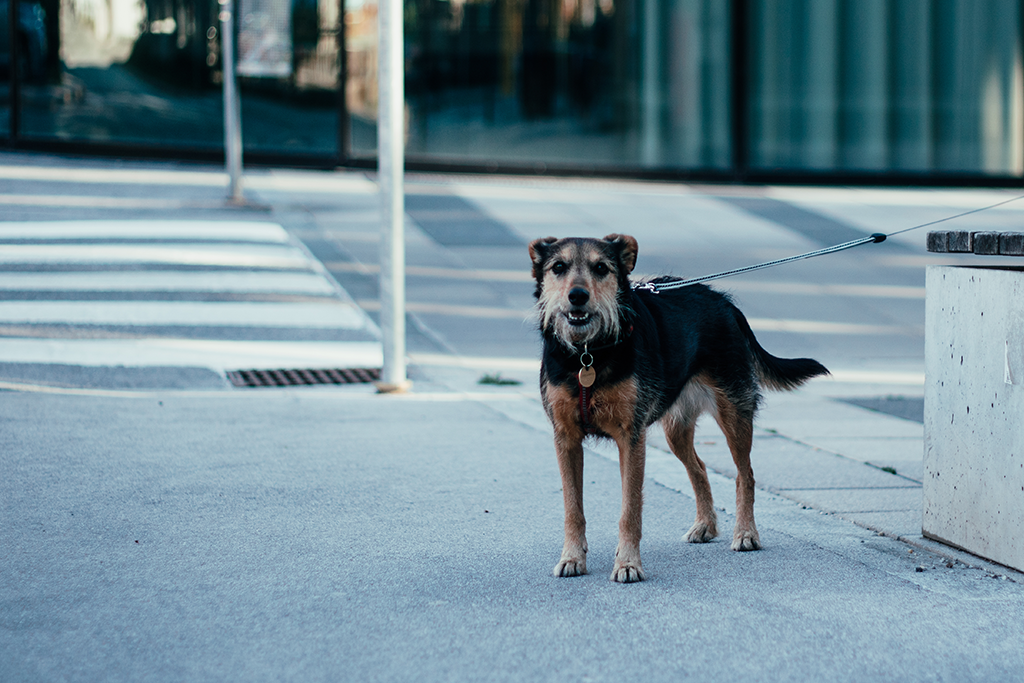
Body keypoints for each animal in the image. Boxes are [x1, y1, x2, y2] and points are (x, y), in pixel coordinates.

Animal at [532, 233, 827, 581]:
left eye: (601, 268)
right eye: (558, 267)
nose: (577, 296)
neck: (587, 355)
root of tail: (724, 302)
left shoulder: (631, 438)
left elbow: (630, 509)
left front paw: (628, 563)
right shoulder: (566, 438)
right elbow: (572, 508)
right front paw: (572, 558)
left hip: (734, 413)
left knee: (746, 474)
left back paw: (745, 533)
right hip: (676, 429)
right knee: (699, 468)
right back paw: (705, 526)